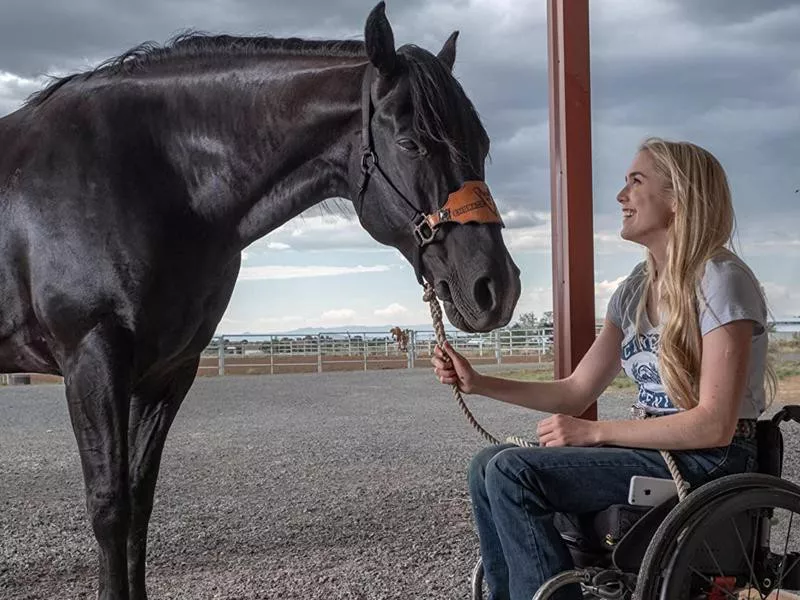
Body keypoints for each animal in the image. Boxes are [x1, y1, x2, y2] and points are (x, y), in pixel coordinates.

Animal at [0, 2, 520, 596]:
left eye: (483, 144)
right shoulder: (92, 356)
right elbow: (111, 508)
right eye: (411, 143)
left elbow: (139, 503)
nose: (496, 287)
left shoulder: (166, 372)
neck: (149, 175)